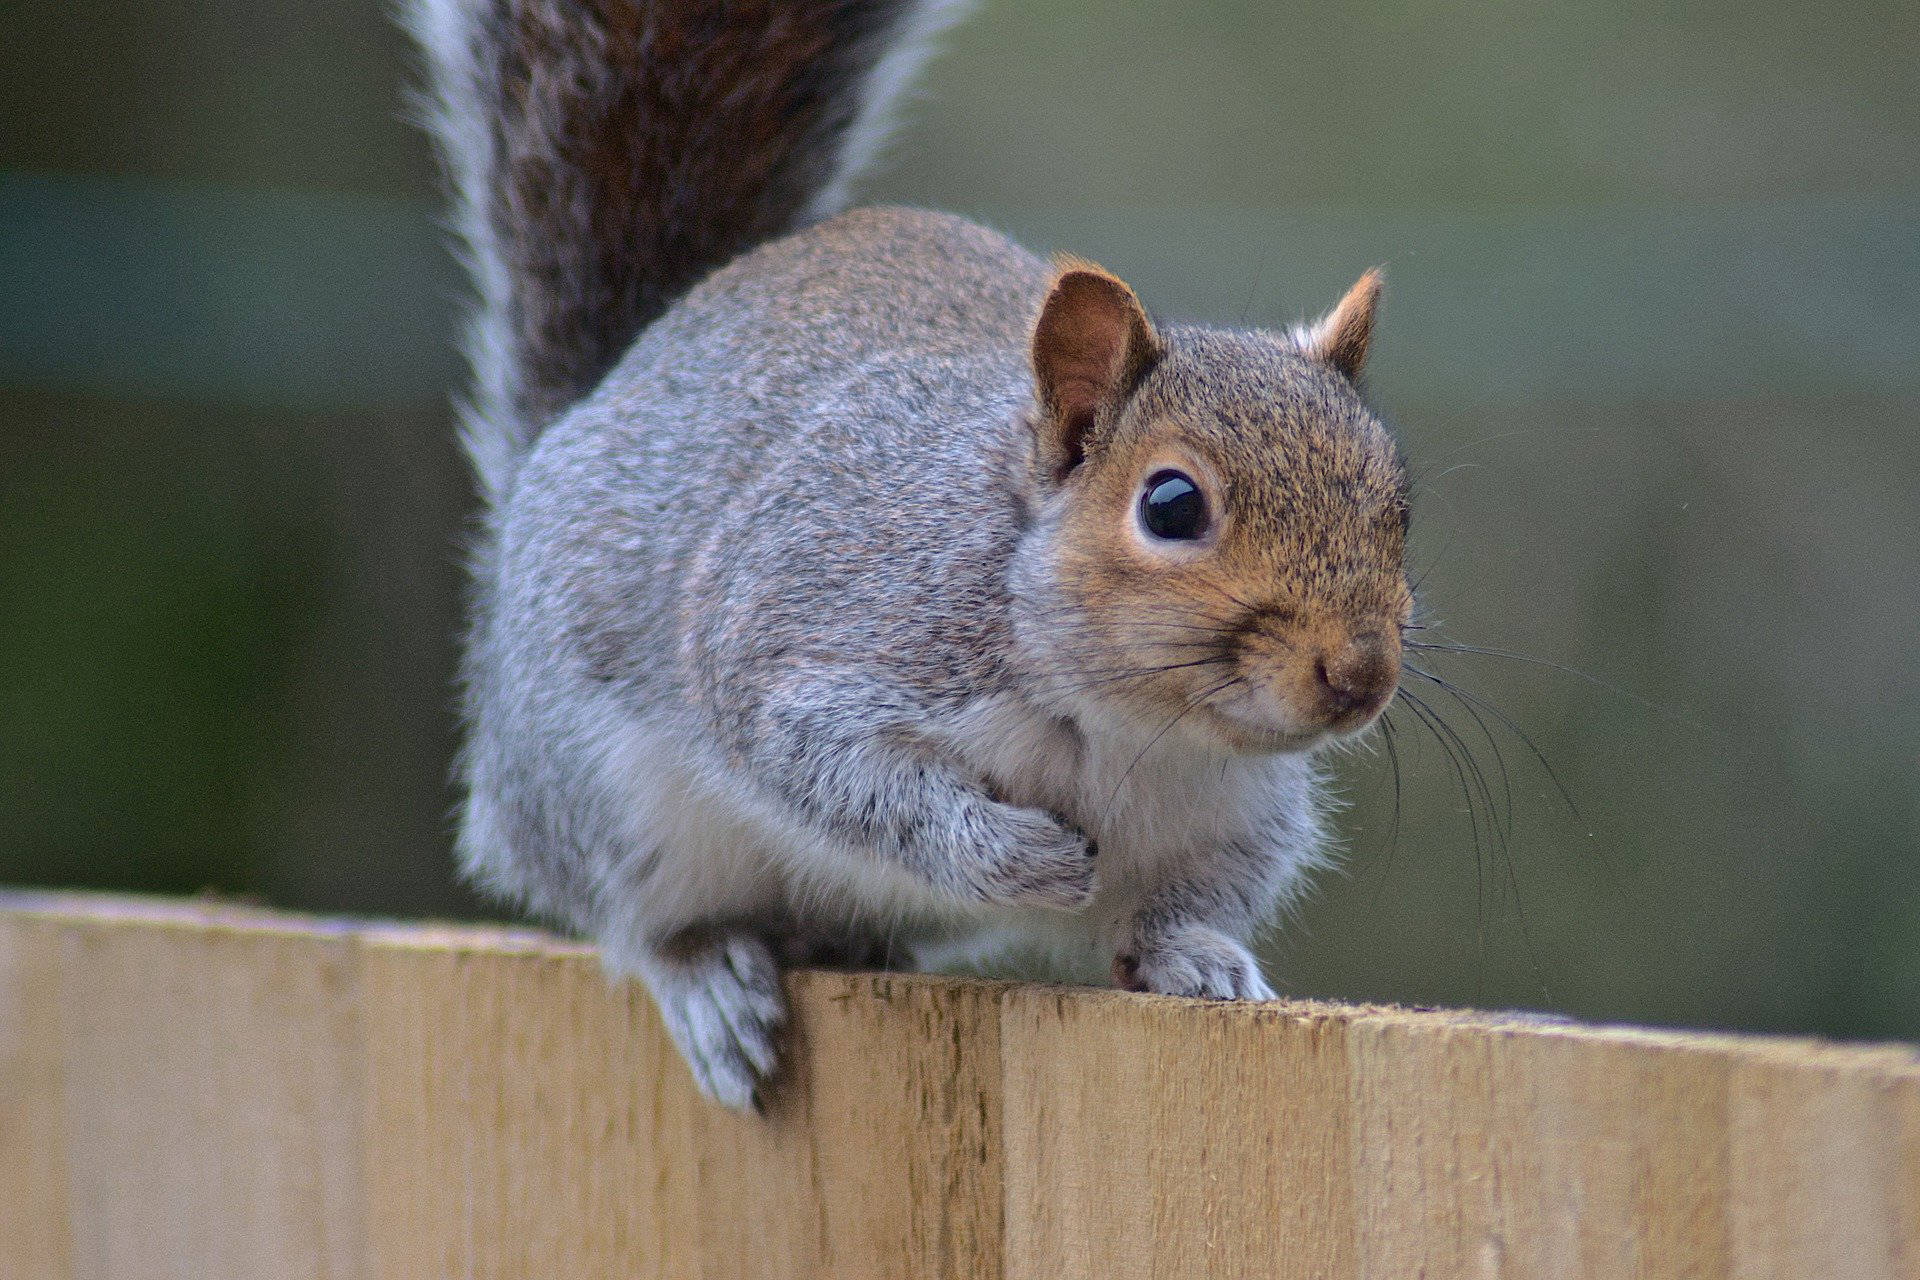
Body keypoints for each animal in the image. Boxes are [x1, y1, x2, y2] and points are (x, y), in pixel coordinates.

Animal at [408, 0, 1413, 1105]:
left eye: (1399, 500)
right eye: (1173, 504)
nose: (1359, 677)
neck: (1124, 723)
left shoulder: (1236, 813)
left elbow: (1193, 897)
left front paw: (1199, 955)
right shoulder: (817, 642)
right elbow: (840, 774)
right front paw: (1015, 857)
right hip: (593, 788)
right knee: (632, 915)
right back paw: (707, 979)